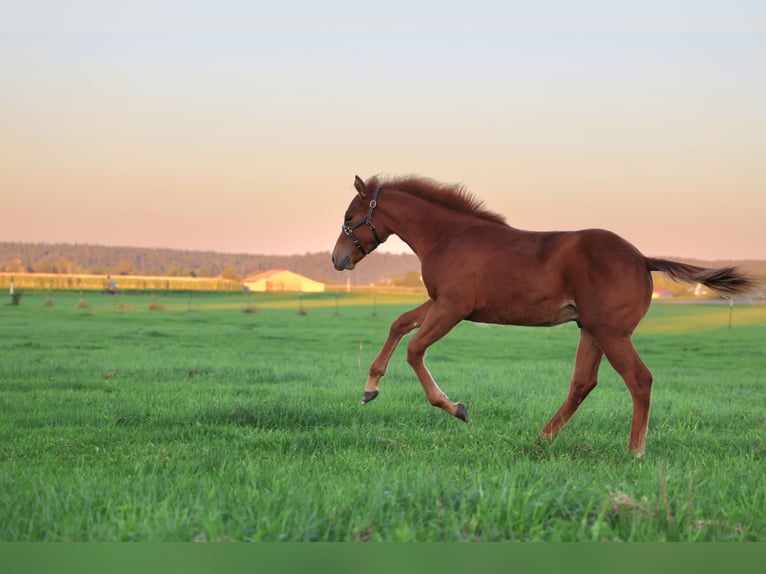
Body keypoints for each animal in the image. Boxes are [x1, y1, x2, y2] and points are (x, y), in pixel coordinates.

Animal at [331, 174, 760, 455]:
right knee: (583, 383)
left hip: (612, 333)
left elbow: (415, 350)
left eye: (351, 217)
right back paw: (543, 438)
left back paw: (634, 451)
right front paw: (370, 387)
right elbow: (399, 323)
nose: (338, 259)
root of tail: (643, 259)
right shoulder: (440, 302)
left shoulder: (453, 307)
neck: (451, 237)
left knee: (639, 380)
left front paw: (456, 408)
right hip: (591, 330)